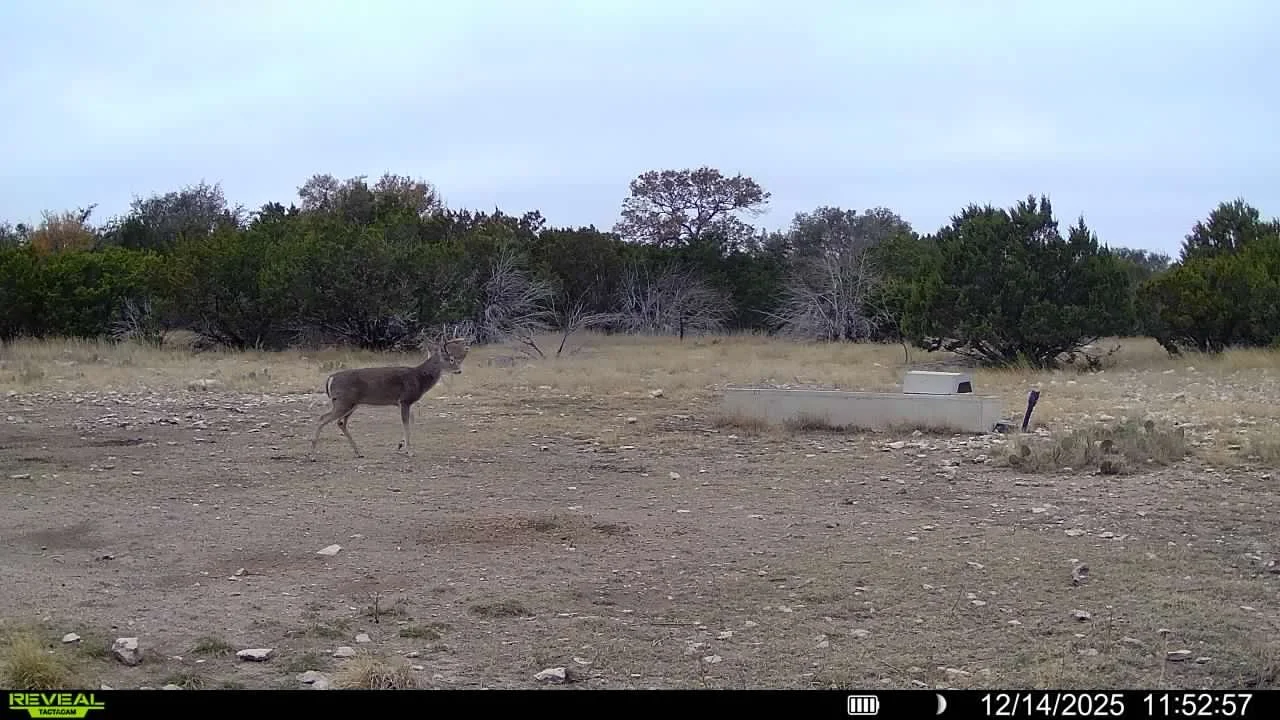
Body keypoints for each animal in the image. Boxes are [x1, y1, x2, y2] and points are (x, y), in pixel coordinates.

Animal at [309, 337, 470, 459]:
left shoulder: (405, 403)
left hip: (351, 404)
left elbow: (411, 421)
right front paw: (409, 451)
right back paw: (313, 455)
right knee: (323, 418)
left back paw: (358, 452)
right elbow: (406, 423)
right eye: (451, 359)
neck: (419, 378)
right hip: (343, 401)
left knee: (341, 423)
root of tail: (331, 378)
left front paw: (400, 445)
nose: (459, 370)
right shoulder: (404, 400)